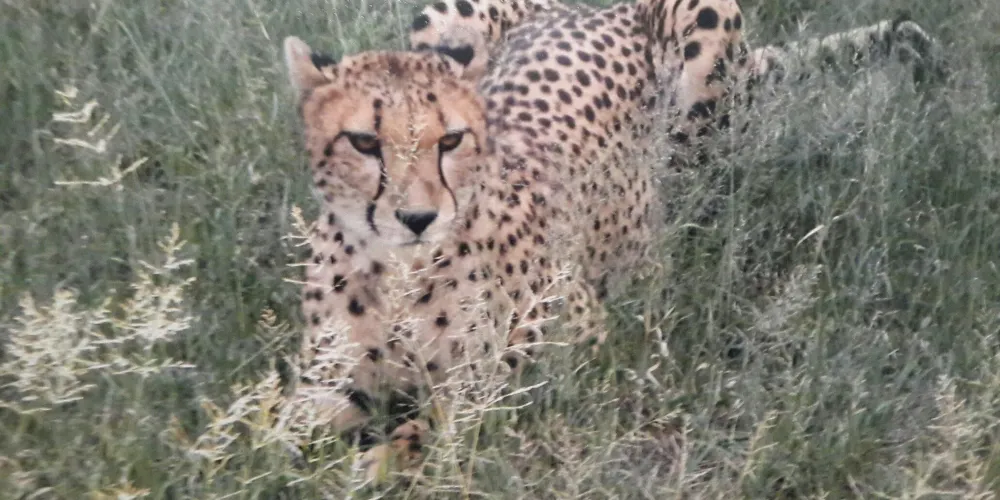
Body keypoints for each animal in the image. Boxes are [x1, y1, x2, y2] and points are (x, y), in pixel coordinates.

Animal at [279, 0, 941, 478]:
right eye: (365, 142)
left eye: (452, 140)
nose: (418, 217)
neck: (397, 269)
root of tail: (593, 6)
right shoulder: (325, 380)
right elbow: (271, 426)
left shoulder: (564, 328)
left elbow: (458, 405)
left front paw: (376, 462)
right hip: (439, 18)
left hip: (704, 72)